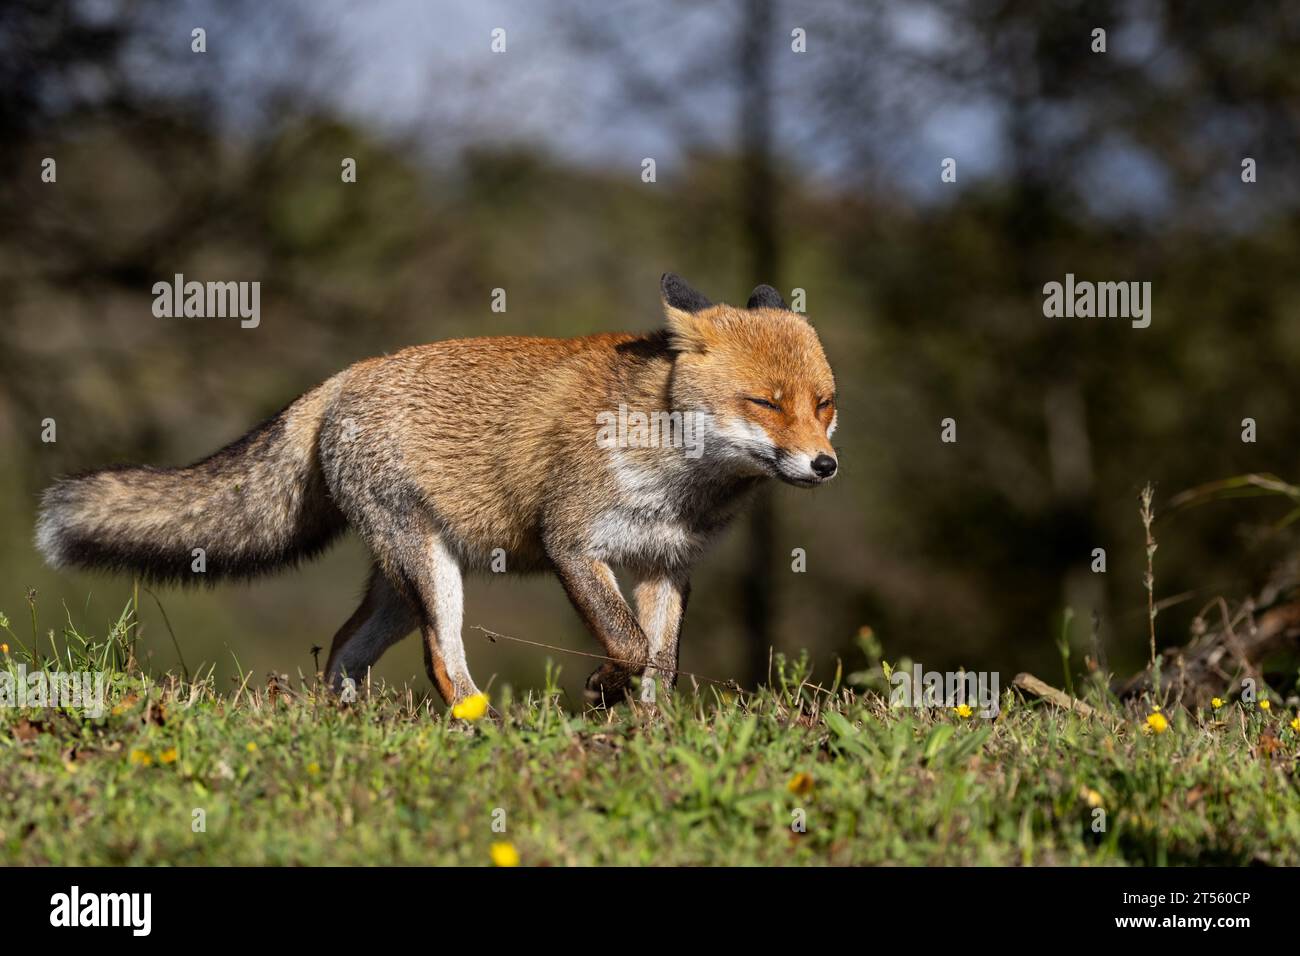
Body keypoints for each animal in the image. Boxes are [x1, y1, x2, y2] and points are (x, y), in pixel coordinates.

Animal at [36, 274, 839, 708]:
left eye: (823, 403)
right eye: (766, 404)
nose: (825, 466)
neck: (673, 467)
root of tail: (343, 377)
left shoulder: (667, 565)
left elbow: (661, 667)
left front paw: (647, 738)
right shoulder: (572, 543)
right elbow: (631, 646)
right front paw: (606, 690)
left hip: (404, 584)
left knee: (343, 650)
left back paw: (349, 724)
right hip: (430, 572)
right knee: (440, 661)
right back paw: (482, 730)